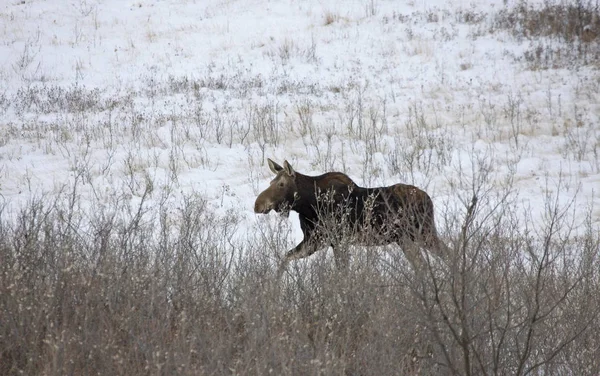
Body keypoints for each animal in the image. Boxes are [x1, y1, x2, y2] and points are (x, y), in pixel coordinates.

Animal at [252, 159, 446, 270]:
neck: (307, 205)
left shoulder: (338, 240)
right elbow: (285, 258)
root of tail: (428, 199)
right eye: (271, 182)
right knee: (423, 264)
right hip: (405, 239)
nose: (258, 205)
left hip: (423, 233)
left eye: (281, 184)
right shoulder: (314, 241)